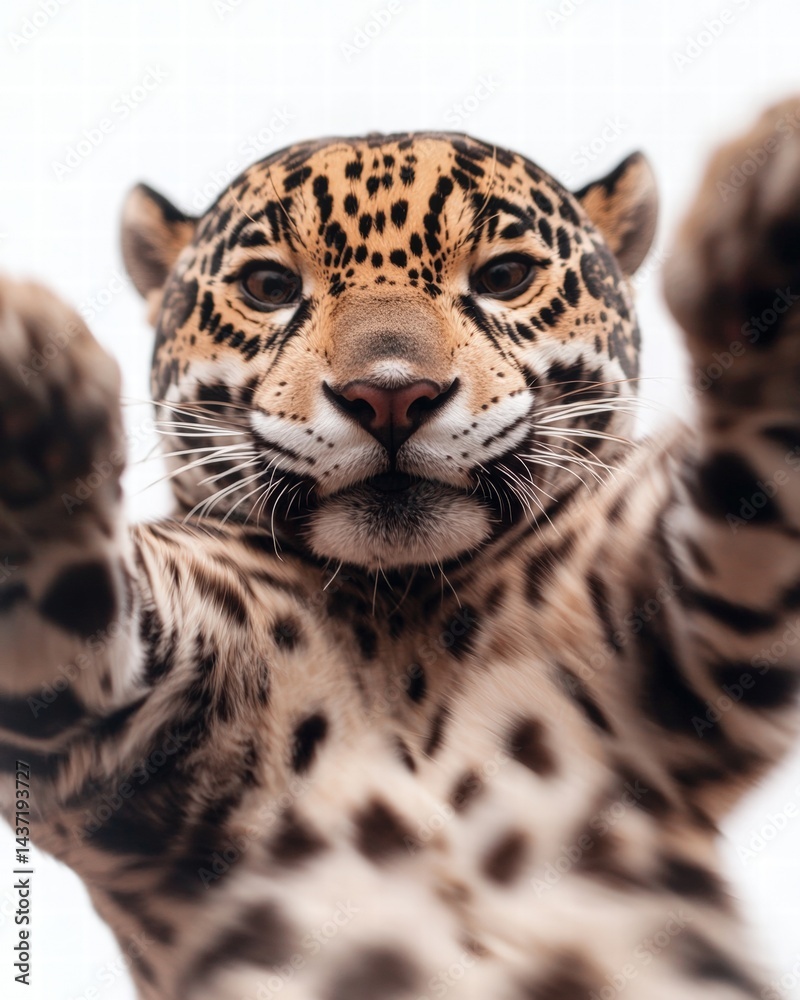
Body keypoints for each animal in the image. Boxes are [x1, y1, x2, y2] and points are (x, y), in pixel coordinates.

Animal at [2, 96, 800, 1000]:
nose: (389, 396)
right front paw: (28, 398)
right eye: (269, 288)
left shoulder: (671, 632)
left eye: (504, 277)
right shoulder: (126, 725)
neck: (398, 613)